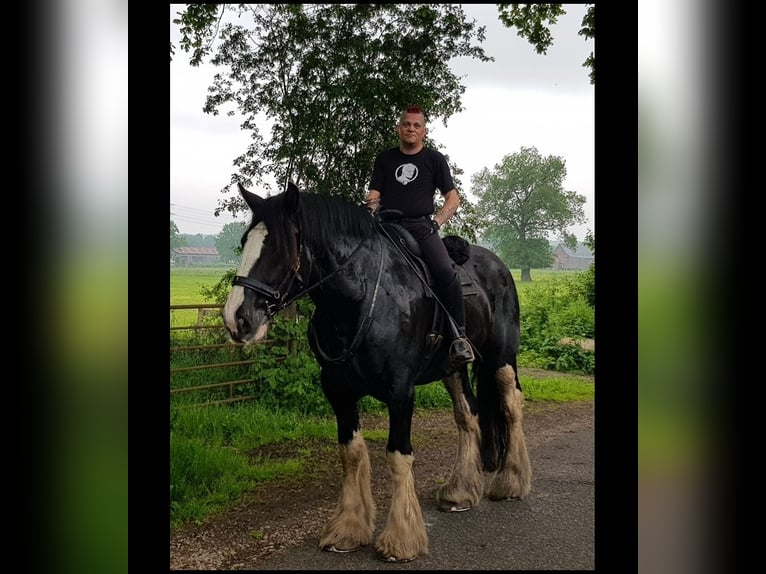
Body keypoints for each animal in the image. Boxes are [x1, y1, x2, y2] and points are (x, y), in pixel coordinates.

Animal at [225, 182, 532, 564]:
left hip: (501, 357)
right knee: (469, 415)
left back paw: (512, 482)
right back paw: (460, 491)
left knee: (511, 404)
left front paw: (401, 540)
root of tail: (498, 265)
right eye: (244, 242)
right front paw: (348, 529)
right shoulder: (337, 389)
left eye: (280, 247)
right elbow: (352, 453)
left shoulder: (401, 390)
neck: (359, 298)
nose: (237, 319)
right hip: (453, 367)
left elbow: (398, 456)